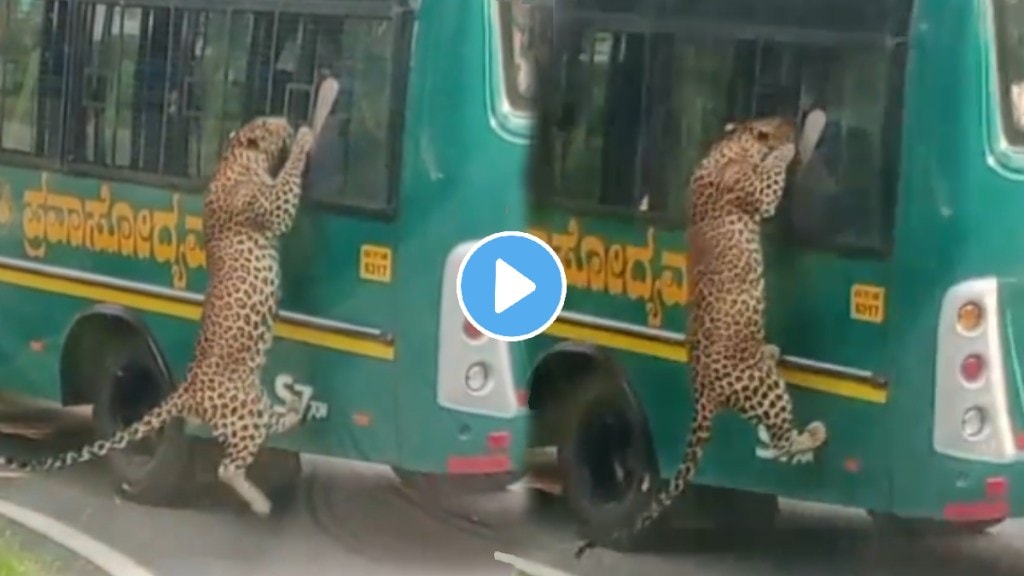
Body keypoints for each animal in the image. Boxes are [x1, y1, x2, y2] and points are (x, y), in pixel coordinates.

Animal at [0, 115, 315, 516]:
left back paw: (296, 407)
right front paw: (304, 138)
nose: (286, 121)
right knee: (227, 467)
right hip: (243, 413)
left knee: (267, 429)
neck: (234, 158)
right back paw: (261, 502)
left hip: (251, 404)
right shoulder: (271, 206)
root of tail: (188, 388)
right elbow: (286, 187)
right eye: (269, 123)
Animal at [577, 115, 831, 557]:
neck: (727, 147)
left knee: (775, 439)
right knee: (781, 441)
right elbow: (771, 177)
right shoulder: (757, 194)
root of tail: (702, 393)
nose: (791, 121)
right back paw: (813, 433)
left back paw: (772, 352)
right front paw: (787, 148)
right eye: (779, 121)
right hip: (767, 388)